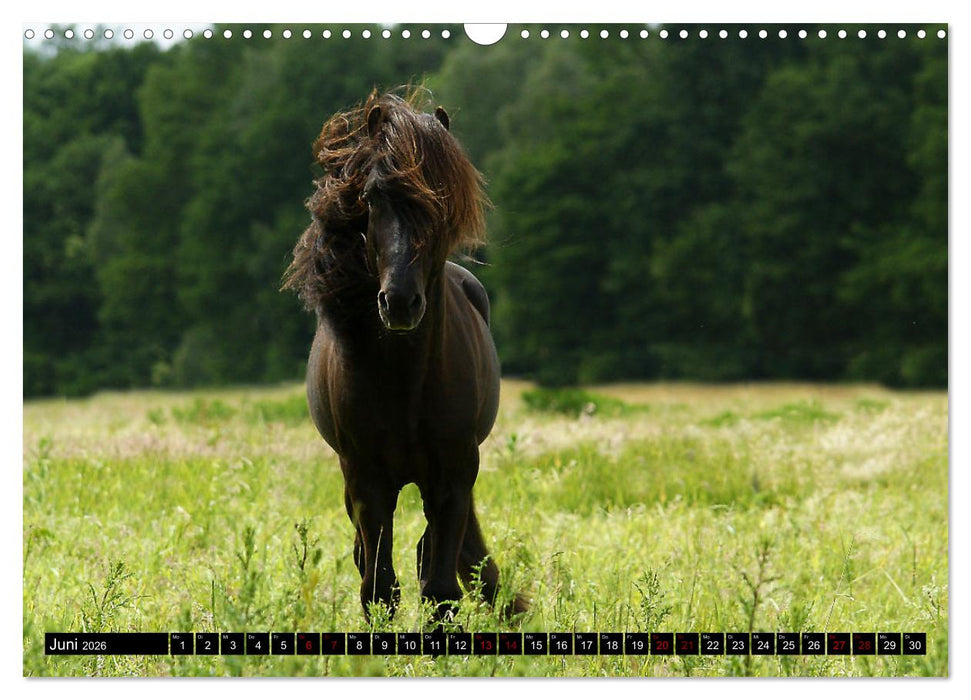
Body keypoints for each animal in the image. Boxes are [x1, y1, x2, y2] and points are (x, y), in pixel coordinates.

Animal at [283, 89, 528, 623]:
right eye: (373, 196)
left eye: (440, 199)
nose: (398, 302)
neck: (405, 379)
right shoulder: (367, 481)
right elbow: (378, 586)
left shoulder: (453, 477)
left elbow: (440, 589)